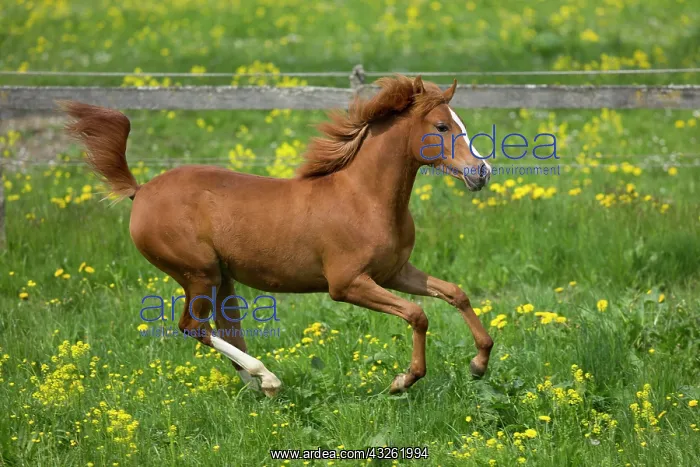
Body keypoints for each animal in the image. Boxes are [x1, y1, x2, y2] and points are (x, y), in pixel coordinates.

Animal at [59, 74, 494, 397]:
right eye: (441, 126)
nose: (481, 172)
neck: (364, 197)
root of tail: (142, 190)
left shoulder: (394, 272)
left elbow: (455, 293)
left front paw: (479, 363)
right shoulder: (348, 284)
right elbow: (418, 314)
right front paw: (403, 379)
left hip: (222, 278)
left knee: (225, 330)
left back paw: (259, 387)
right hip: (198, 273)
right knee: (194, 327)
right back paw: (268, 377)